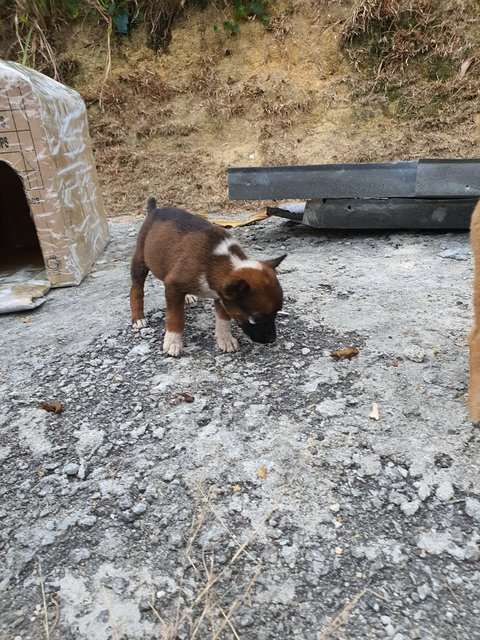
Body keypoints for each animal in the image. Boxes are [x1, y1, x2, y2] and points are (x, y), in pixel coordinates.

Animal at [129, 198, 284, 356]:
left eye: (277, 312)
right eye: (257, 318)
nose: (272, 340)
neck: (217, 263)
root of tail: (155, 210)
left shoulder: (222, 296)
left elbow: (223, 318)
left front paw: (225, 339)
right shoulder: (173, 286)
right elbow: (175, 318)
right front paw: (173, 342)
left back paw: (188, 296)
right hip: (140, 260)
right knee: (136, 289)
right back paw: (138, 317)